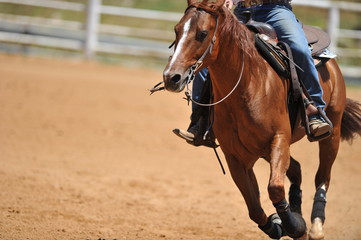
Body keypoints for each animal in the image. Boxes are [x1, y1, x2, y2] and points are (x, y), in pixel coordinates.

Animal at [161, 0, 360, 239]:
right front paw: (279, 223)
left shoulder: (279, 139)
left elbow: (274, 188)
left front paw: (294, 226)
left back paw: (316, 224)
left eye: (202, 33)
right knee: (296, 169)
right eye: (177, 30)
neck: (248, 84)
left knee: (323, 176)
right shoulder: (237, 157)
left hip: (333, 131)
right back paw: (296, 208)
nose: (171, 77)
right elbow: (255, 207)